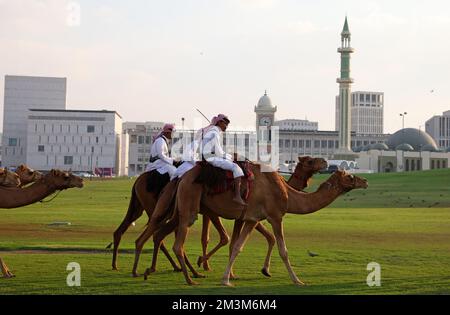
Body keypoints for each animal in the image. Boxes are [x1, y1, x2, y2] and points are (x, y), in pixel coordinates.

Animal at [135, 167, 368, 288]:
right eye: (350, 176)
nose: (365, 181)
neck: (287, 193)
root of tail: (181, 177)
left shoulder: (251, 219)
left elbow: (237, 247)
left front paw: (227, 279)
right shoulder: (275, 216)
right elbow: (283, 250)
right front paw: (297, 280)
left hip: (179, 209)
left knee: (159, 233)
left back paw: (149, 271)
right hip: (188, 207)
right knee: (176, 243)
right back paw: (189, 279)